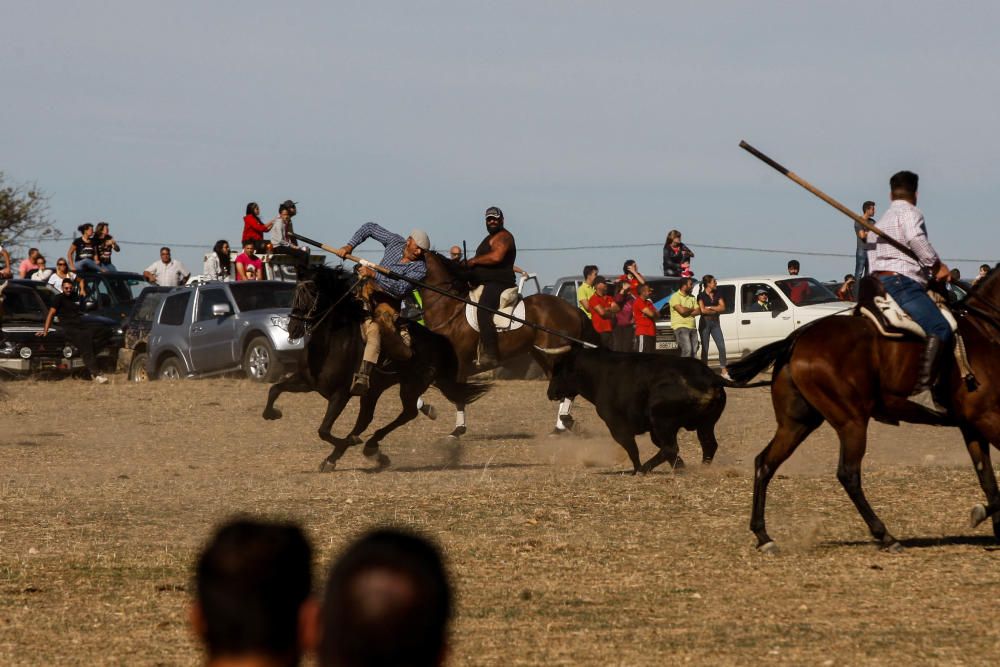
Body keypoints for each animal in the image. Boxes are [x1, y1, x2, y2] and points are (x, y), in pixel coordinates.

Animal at [420, 252, 596, 438]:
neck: (449, 307)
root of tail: (574, 309)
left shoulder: (460, 361)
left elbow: (456, 395)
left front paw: (457, 430)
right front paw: (429, 410)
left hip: (554, 354)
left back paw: (566, 422)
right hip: (543, 355)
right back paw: (560, 426)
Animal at [728, 274, 1000, 556]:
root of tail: (796, 340)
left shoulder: (973, 426)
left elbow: (988, 479)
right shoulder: (988, 417)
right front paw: (981, 515)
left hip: (797, 423)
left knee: (765, 463)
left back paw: (764, 536)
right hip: (851, 422)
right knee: (848, 474)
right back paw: (886, 536)